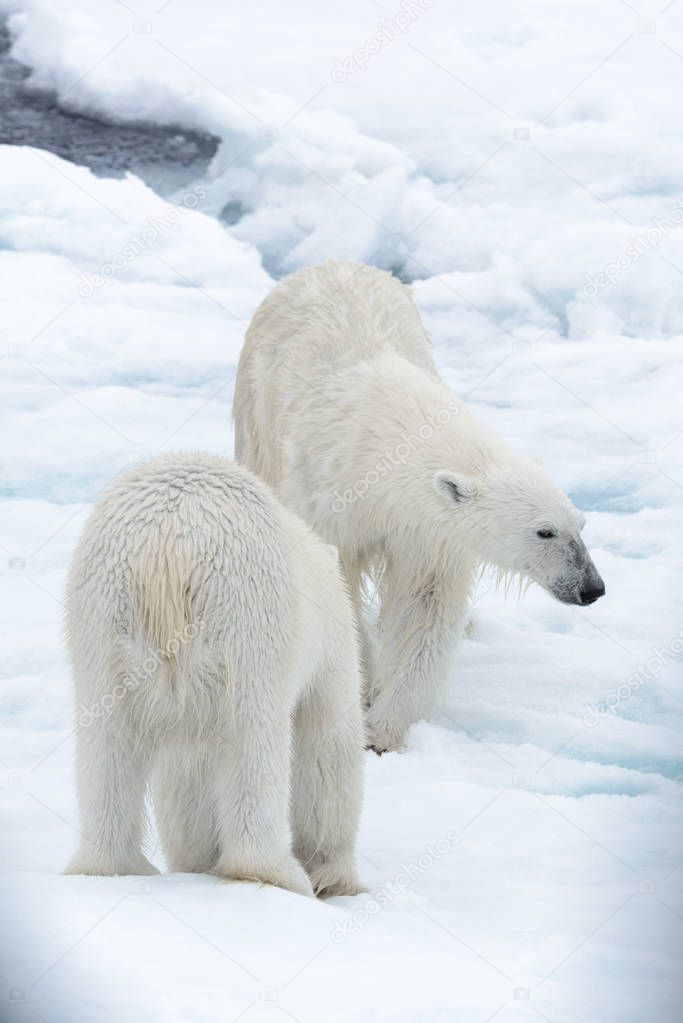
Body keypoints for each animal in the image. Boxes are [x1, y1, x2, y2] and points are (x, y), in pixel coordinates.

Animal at [65, 456, 366, 896]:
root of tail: (166, 545)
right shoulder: (329, 651)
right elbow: (327, 743)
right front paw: (335, 876)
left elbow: (185, 777)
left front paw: (196, 860)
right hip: (247, 616)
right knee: (254, 738)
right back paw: (273, 872)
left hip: (104, 618)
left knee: (106, 742)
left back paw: (112, 865)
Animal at [233, 257, 601, 752]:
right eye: (544, 531)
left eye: (581, 523)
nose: (592, 588)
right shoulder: (327, 497)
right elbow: (336, 584)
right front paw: (362, 685)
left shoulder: (429, 532)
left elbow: (425, 610)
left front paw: (384, 727)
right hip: (256, 413)